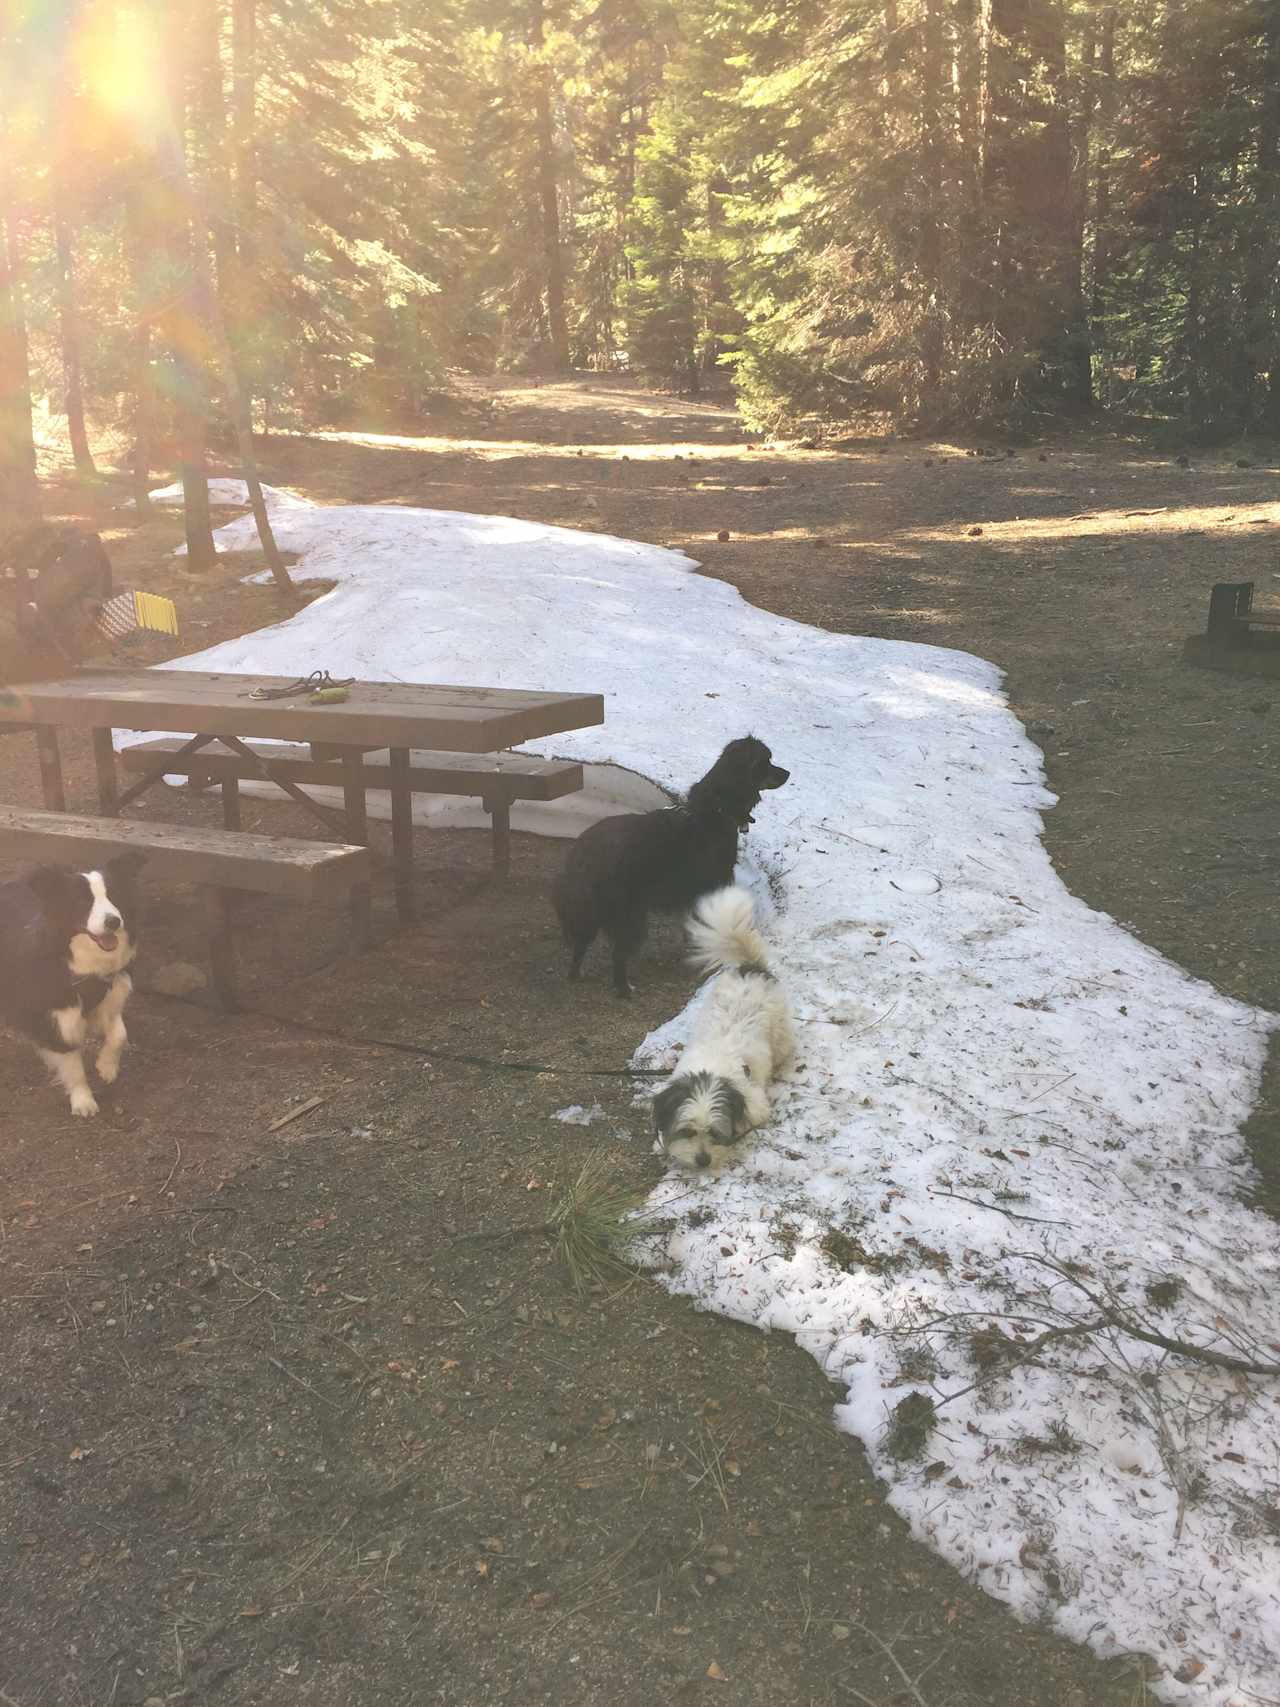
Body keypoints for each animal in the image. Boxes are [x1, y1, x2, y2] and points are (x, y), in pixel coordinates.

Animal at [552, 737, 791, 996]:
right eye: (764, 762)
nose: (787, 773)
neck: (715, 810)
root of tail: (583, 850)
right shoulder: (710, 884)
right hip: (629, 913)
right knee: (618, 955)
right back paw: (624, 989)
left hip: (593, 909)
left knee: (581, 942)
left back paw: (576, 974)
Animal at [655, 880, 798, 1174]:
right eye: (687, 1131)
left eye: (714, 1132)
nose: (703, 1160)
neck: (711, 1070)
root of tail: (751, 968)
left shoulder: (755, 1103)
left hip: (779, 1033)